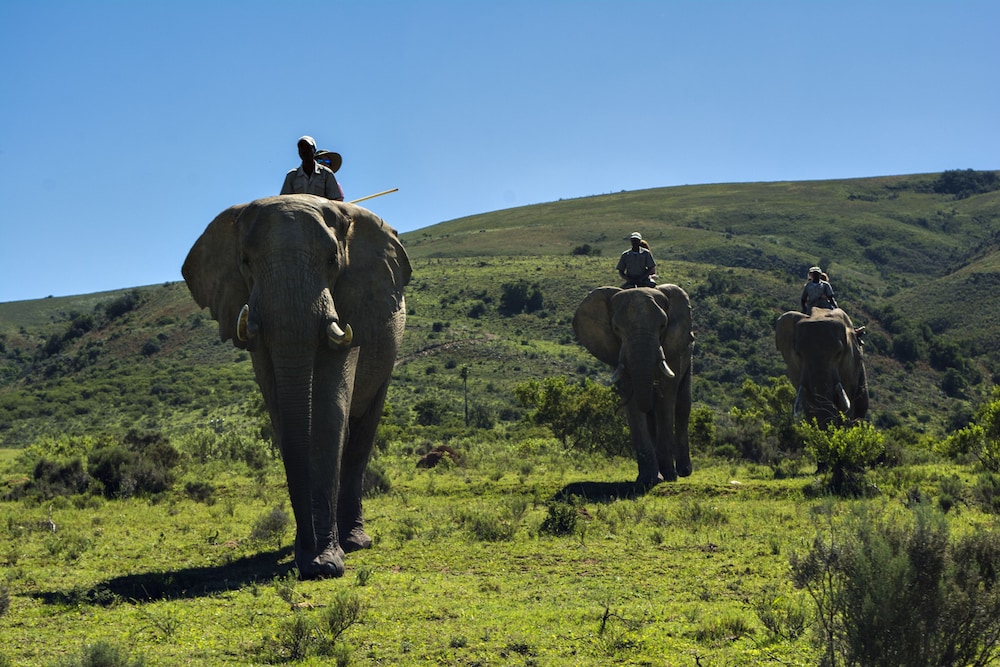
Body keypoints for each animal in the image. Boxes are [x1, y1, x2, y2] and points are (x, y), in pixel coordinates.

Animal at [182, 194, 410, 579]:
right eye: (245, 262)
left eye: (333, 260)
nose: (310, 554)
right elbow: (281, 410)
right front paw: (311, 558)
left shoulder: (352, 304)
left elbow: (330, 409)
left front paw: (327, 562)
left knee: (361, 434)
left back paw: (355, 541)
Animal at [573, 285, 694, 489]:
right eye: (616, 329)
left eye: (663, 326)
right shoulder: (617, 354)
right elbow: (634, 406)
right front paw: (648, 480)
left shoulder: (672, 348)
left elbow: (666, 402)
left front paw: (669, 477)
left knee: (682, 407)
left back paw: (684, 472)